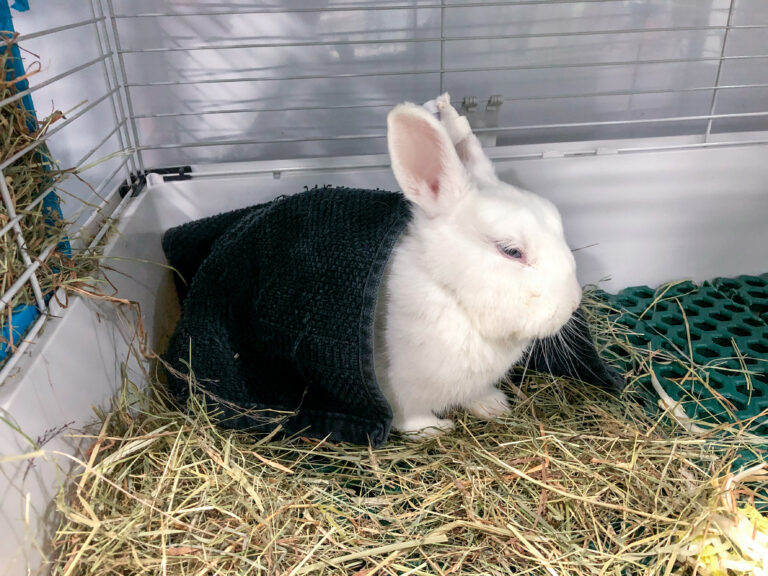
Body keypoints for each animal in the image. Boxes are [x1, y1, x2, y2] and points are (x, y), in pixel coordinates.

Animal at [373, 93, 583, 436]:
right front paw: (434, 429)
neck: (453, 296)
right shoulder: (397, 384)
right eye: (511, 251)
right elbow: (409, 415)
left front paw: (495, 406)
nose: (575, 302)